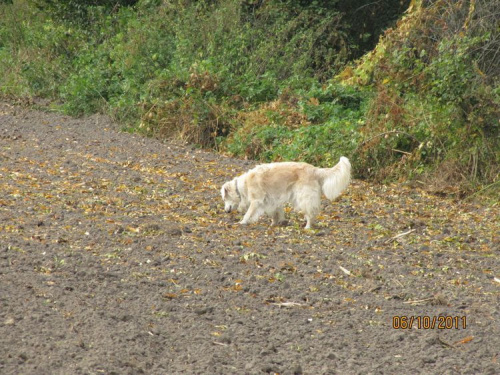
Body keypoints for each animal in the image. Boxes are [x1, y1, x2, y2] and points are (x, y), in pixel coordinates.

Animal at [221, 156, 350, 229]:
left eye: (224, 199)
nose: (226, 211)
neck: (244, 184)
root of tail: (315, 169)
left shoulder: (256, 201)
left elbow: (248, 214)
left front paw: (242, 222)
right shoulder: (272, 201)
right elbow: (275, 213)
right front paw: (275, 223)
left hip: (304, 197)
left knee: (310, 213)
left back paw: (307, 227)